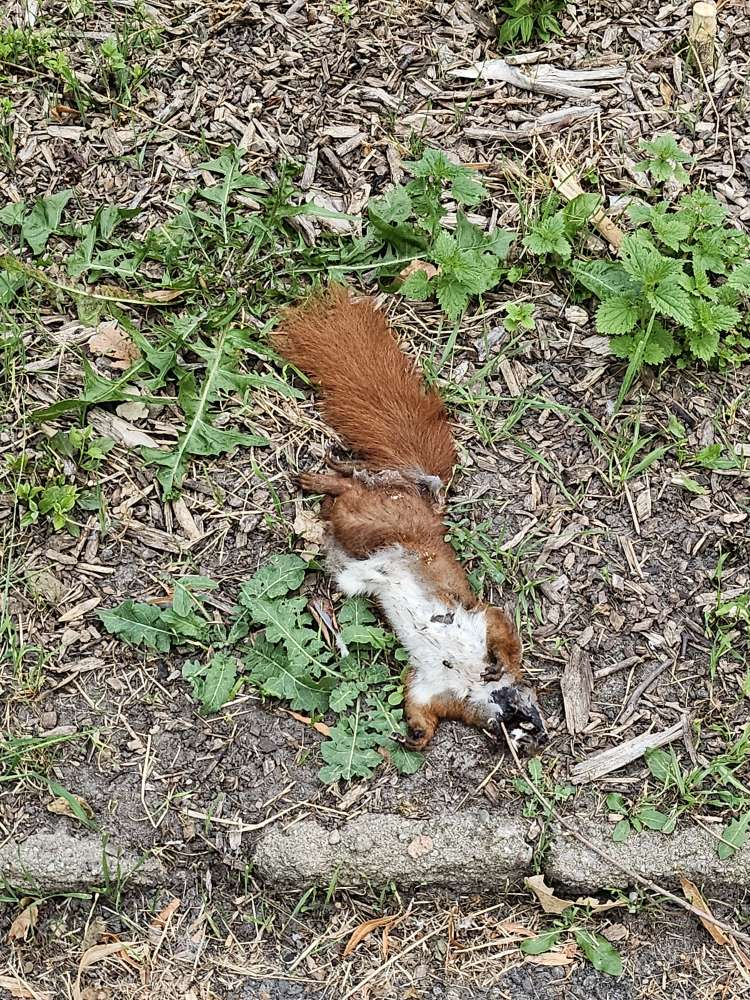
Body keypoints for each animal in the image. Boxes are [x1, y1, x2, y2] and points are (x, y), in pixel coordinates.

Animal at [274, 285, 546, 753]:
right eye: (531, 717)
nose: (537, 735)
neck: (475, 686)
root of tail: (421, 497)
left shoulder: (434, 690)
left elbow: (419, 709)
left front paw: (411, 737)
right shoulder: (484, 620)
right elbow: (504, 634)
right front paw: (498, 663)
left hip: (360, 527)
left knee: (348, 492)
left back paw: (323, 481)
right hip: (377, 524)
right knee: (353, 489)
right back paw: (322, 476)